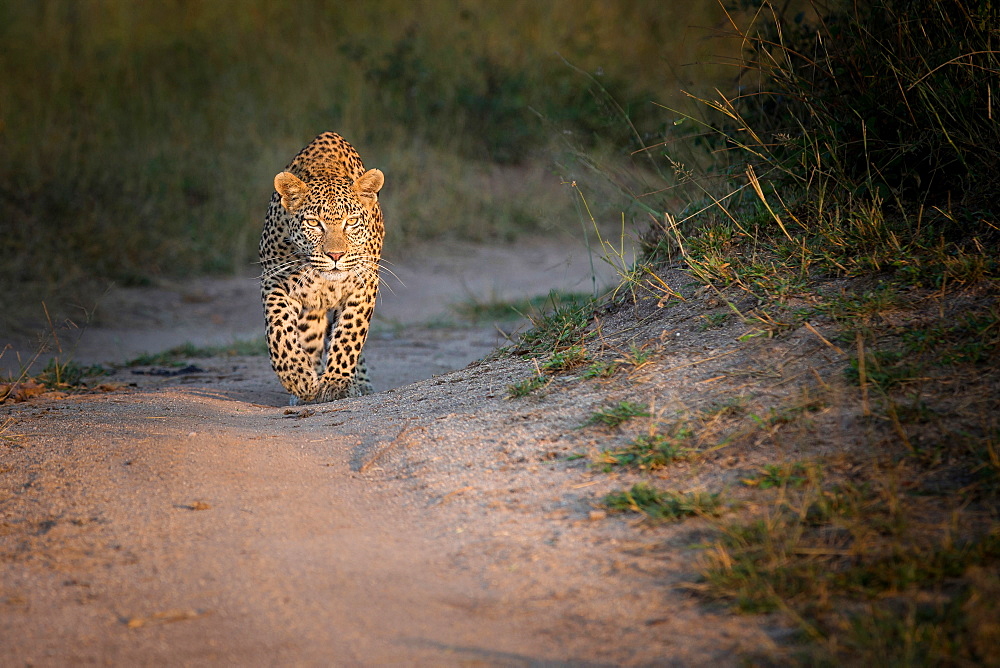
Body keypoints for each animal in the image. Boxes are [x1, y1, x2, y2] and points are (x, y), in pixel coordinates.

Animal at [260, 130, 384, 402]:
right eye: (314, 223)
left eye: (352, 221)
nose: (335, 255)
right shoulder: (274, 281)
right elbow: (280, 330)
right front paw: (298, 378)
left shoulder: (364, 284)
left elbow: (349, 334)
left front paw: (336, 383)